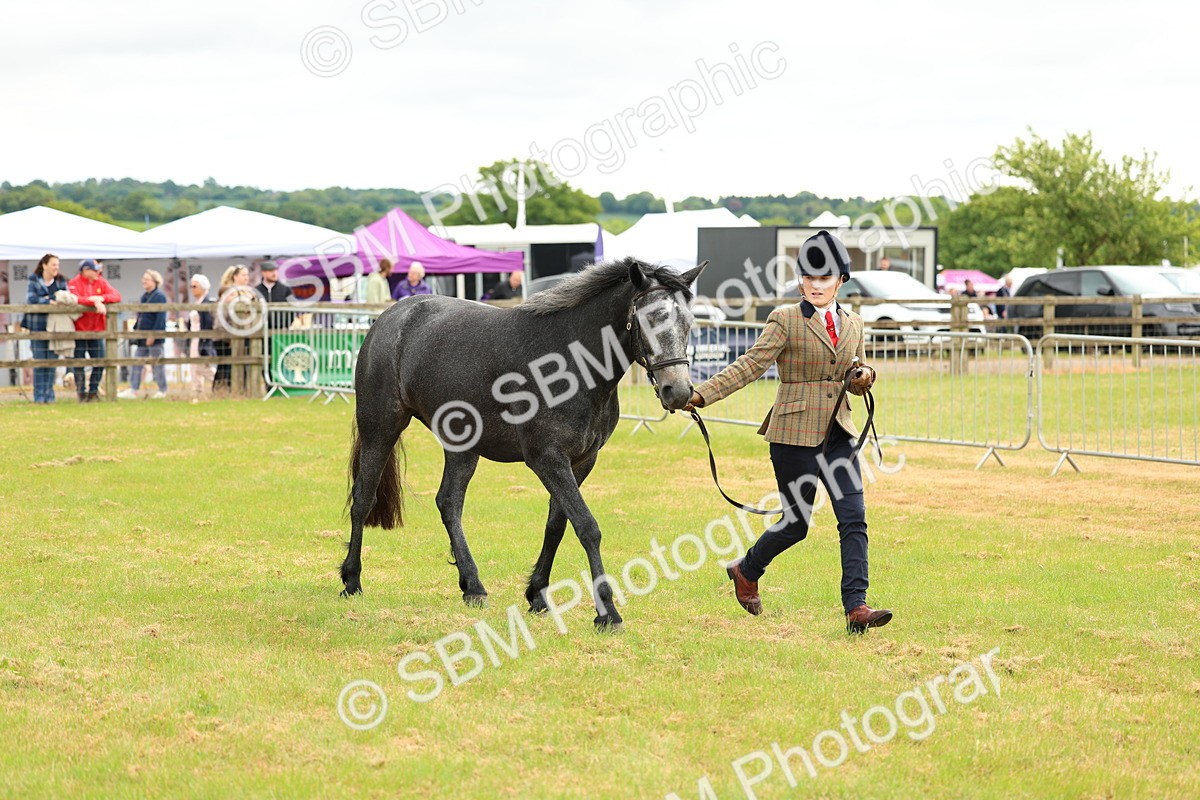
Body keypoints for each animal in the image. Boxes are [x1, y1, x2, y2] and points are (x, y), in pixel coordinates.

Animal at [343, 257, 707, 630]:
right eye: (647, 320)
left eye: (688, 323)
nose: (678, 391)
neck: (570, 362)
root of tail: (391, 318)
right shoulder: (547, 459)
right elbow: (587, 527)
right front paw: (607, 612)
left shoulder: (581, 461)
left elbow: (557, 525)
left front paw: (537, 595)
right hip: (380, 429)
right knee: (363, 498)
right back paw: (352, 580)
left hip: (461, 447)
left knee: (448, 503)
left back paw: (472, 586)